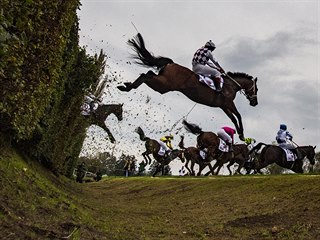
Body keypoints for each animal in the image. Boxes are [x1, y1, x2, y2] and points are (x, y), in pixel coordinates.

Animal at [119, 32, 258, 140]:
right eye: (256, 89)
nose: (255, 103)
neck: (231, 85)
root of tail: (171, 64)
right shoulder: (228, 103)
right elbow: (239, 115)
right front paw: (242, 134)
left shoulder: (223, 106)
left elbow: (233, 119)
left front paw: (240, 134)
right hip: (164, 86)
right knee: (145, 75)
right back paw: (127, 87)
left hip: (162, 83)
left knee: (148, 73)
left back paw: (126, 86)